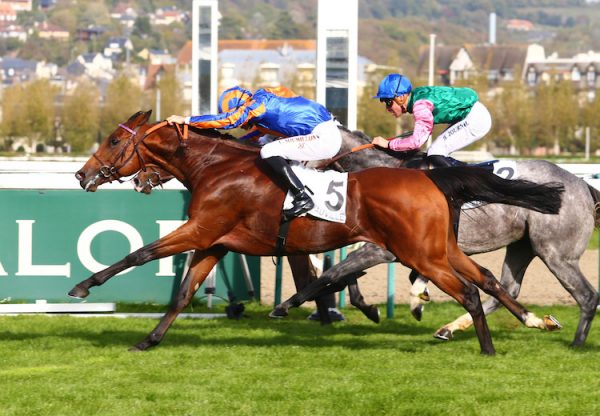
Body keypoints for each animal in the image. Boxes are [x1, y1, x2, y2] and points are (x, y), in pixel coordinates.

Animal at [72, 110, 564, 354]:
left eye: (114, 141)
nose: (82, 174)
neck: (215, 167)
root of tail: (429, 178)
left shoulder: (198, 230)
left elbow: (138, 254)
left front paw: (83, 286)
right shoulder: (215, 241)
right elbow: (182, 294)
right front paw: (148, 340)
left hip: (420, 254)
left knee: (470, 292)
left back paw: (486, 348)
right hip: (441, 249)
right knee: (490, 281)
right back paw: (534, 320)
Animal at [282, 127, 600, 348]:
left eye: (307, 144)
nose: (294, 173)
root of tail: (582, 185)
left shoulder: (385, 249)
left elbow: (344, 268)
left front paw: (390, 304)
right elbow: (349, 271)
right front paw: (387, 304)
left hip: (556, 253)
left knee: (587, 296)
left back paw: (576, 344)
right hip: (523, 246)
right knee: (507, 289)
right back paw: (449, 328)